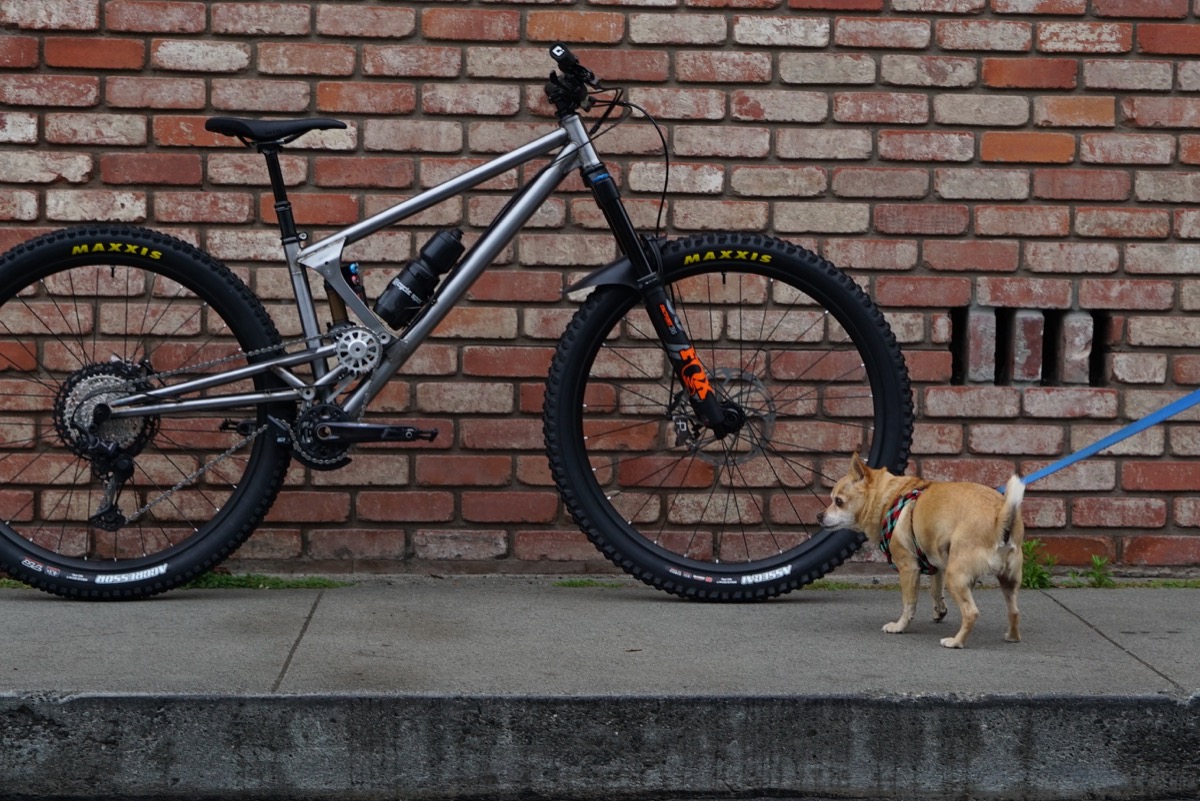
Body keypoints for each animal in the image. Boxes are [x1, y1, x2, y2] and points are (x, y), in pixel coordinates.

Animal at [817, 453, 1026, 649]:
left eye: (838, 501)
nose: (819, 516)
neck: (889, 498)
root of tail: (1000, 517)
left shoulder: (908, 568)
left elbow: (908, 603)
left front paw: (899, 627)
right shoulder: (938, 564)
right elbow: (935, 590)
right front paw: (939, 610)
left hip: (955, 576)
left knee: (971, 613)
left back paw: (956, 641)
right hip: (1007, 579)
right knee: (1014, 611)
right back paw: (1012, 636)